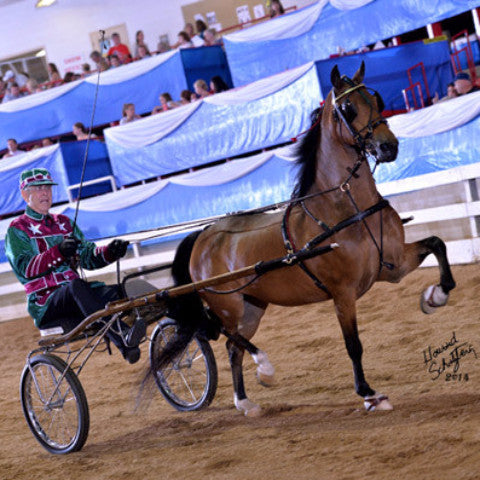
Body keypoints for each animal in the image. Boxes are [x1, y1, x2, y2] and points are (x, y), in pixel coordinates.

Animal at [160, 62, 454, 416]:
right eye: (348, 107)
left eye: (376, 99)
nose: (389, 146)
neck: (346, 210)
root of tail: (204, 235)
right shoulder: (343, 294)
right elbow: (353, 345)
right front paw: (369, 393)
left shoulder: (393, 266)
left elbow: (437, 243)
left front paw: (436, 296)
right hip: (227, 305)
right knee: (227, 336)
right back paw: (265, 368)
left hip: (253, 306)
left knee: (233, 347)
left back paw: (245, 402)